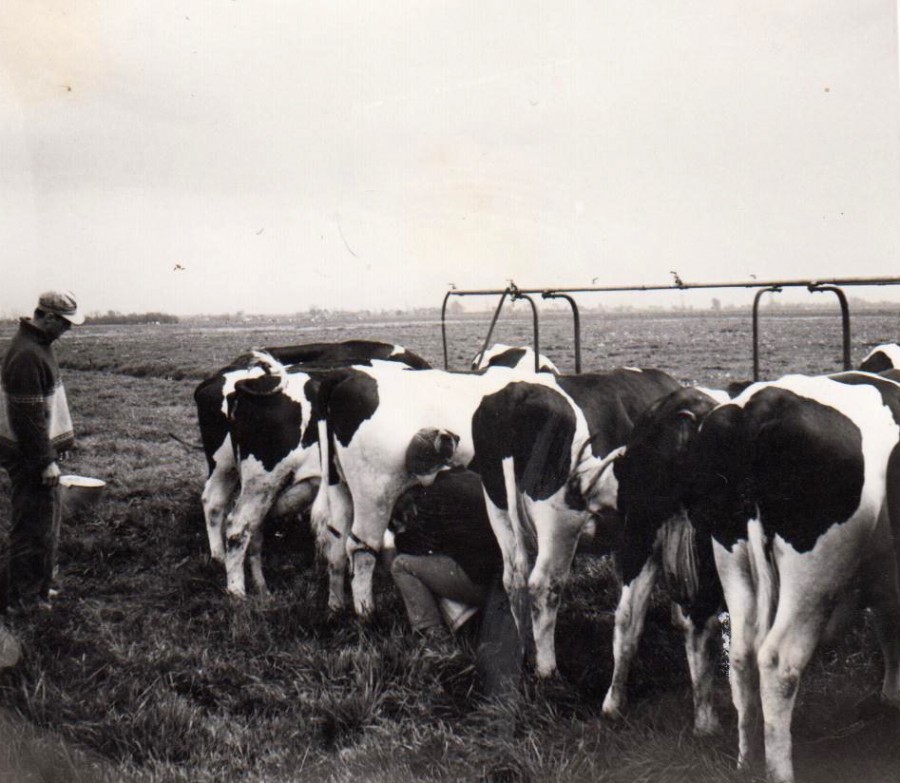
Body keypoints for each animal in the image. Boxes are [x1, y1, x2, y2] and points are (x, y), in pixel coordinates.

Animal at [468, 370, 680, 680]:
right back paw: (547, 668)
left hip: (498, 507)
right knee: (543, 584)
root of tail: (516, 394)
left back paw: (525, 651)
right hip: (559, 523)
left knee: (513, 579)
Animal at [684, 376, 900, 783]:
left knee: (742, 656)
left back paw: (747, 759)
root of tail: (760, 406)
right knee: (778, 660)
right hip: (814, 572)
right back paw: (778, 770)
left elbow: (887, 627)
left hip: (731, 557)